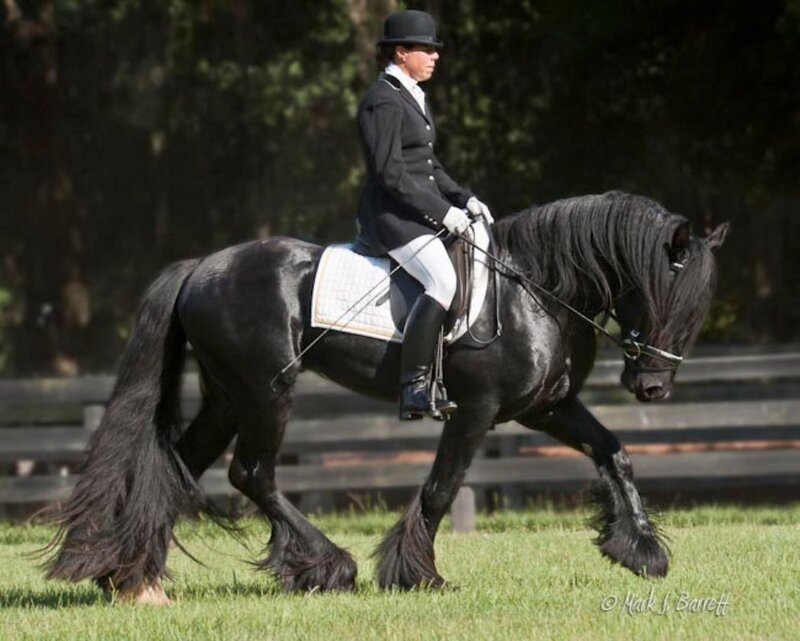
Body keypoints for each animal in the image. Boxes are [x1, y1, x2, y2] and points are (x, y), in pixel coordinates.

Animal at [43, 191, 728, 604]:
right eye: (664, 297)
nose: (652, 386)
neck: (536, 289)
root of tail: (201, 267)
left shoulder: (546, 408)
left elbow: (615, 452)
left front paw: (641, 551)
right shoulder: (476, 412)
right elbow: (442, 488)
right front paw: (415, 574)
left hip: (226, 397)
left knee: (178, 467)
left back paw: (133, 579)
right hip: (266, 392)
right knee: (251, 474)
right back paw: (327, 566)